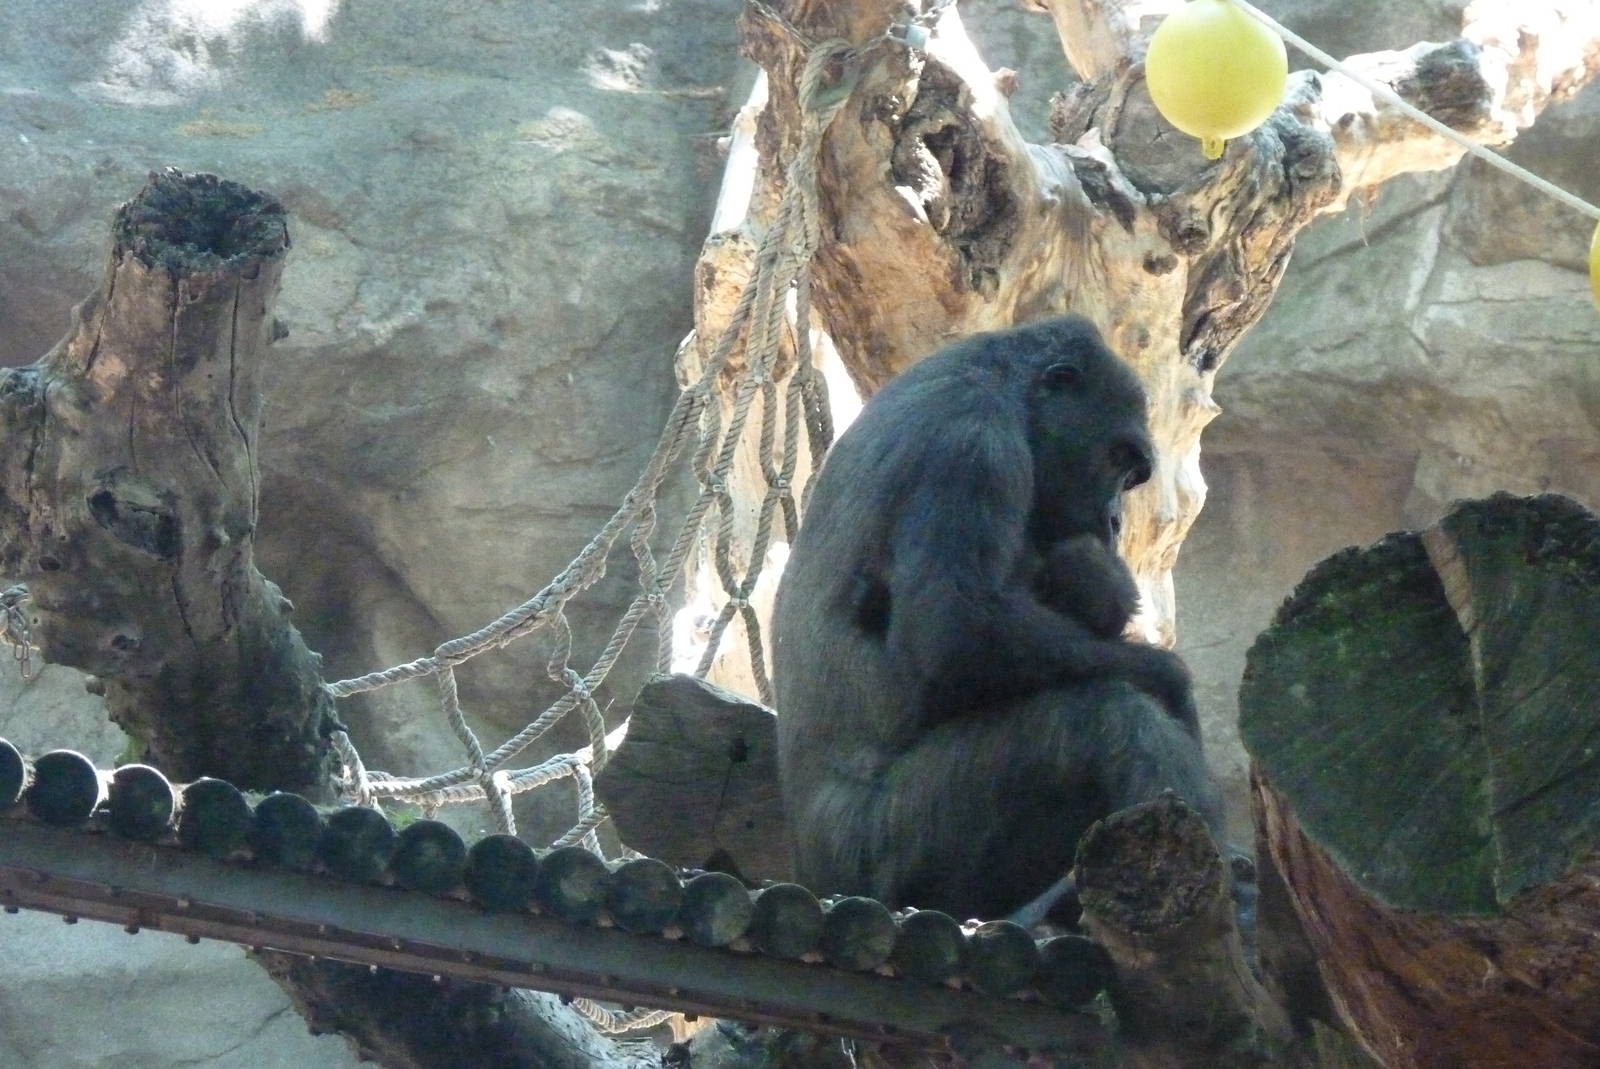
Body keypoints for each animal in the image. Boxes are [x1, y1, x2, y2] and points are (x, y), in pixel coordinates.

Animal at [772, 315, 1223, 923]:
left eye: (1134, 475)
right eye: (1118, 460)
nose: (1113, 520)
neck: (1008, 387)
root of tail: (810, 875)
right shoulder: (972, 443)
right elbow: (959, 630)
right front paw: (1168, 676)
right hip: (886, 856)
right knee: (1104, 721)